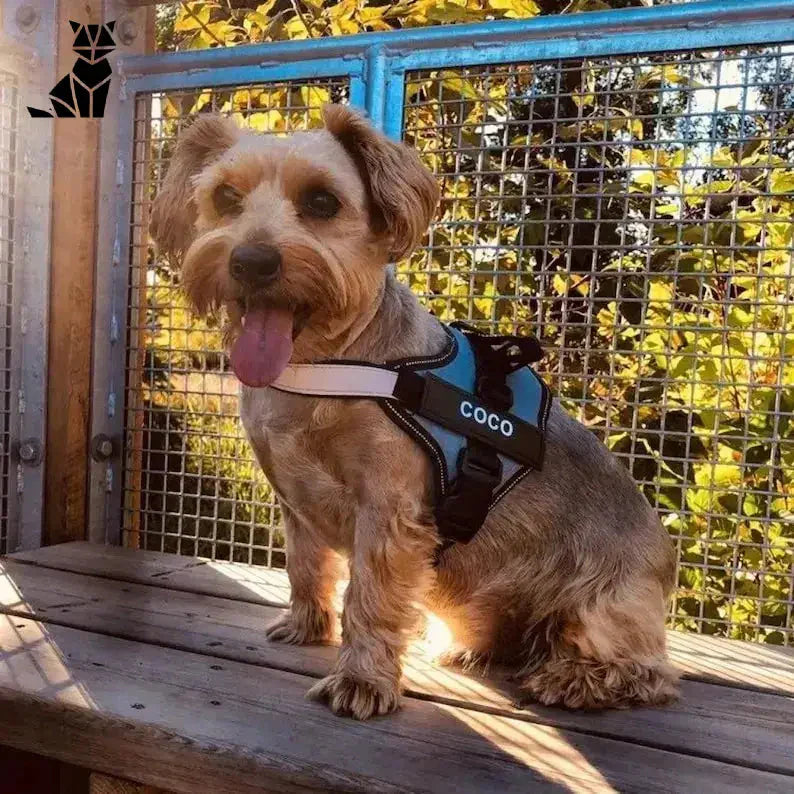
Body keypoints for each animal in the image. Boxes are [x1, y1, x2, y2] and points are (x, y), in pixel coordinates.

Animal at [152, 105, 676, 716]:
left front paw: (361, 680)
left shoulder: (389, 511)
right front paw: (306, 624)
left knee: (648, 671)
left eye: (323, 202)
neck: (320, 363)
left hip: (604, 605)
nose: (251, 261)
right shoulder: (295, 504)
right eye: (226, 197)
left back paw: (574, 679)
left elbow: (370, 596)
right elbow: (306, 565)